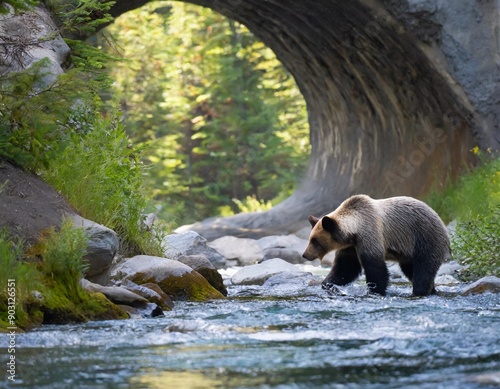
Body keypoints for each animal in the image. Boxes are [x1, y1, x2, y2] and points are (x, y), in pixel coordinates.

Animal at [302, 194, 452, 294]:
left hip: (425, 237)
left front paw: (375, 290)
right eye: (310, 238)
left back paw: (421, 290)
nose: (305, 254)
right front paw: (328, 283)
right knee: (411, 269)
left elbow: (375, 266)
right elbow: (345, 268)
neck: (354, 231)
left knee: (424, 269)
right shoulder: (351, 247)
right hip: (409, 252)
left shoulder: (370, 234)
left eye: (315, 240)